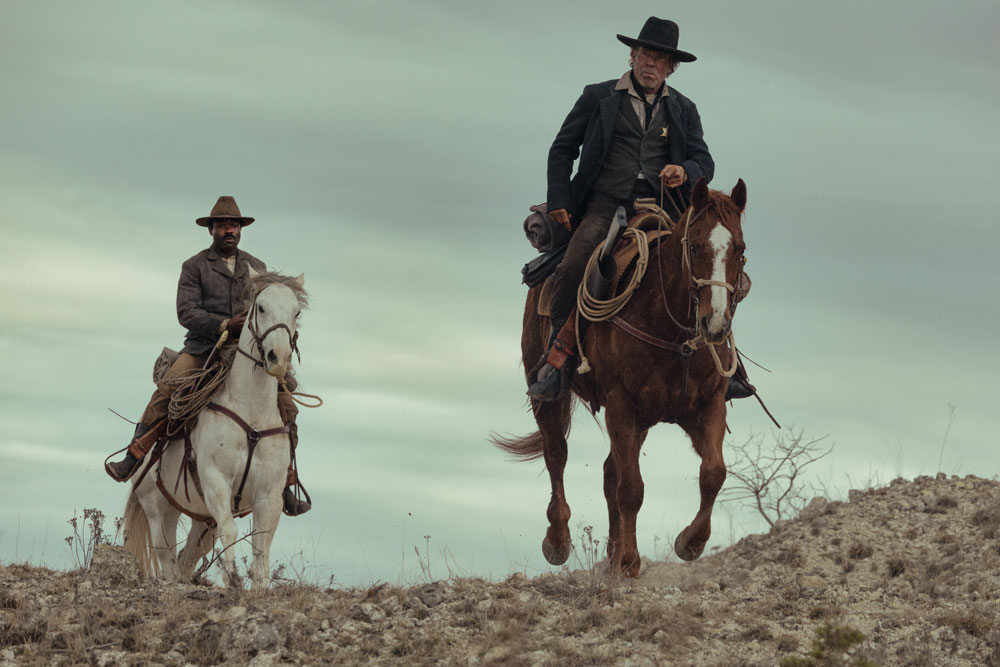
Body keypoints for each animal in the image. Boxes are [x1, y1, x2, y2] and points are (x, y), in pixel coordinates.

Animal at [123, 268, 306, 588]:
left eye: (296, 312)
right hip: (159, 511)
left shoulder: (269, 494)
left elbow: (261, 550)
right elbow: (231, 530)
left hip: (201, 520)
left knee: (186, 559)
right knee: (169, 560)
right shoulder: (215, 480)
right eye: (261, 307)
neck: (251, 413)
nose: (278, 358)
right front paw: (232, 578)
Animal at [496, 179, 748, 580]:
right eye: (694, 246)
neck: (671, 331)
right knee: (557, 454)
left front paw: (689, 543)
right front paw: (630, 561)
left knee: (607, 471)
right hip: (547, 393)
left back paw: (612, 556)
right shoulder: (621, 403)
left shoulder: (707, 405)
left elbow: (713, 473)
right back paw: (559, 541)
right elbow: (631, 487)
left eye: (739, 249)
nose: (715, 324)